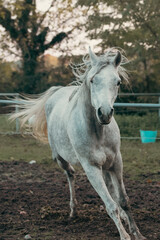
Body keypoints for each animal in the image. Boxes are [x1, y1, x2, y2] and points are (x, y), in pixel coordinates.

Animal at [10, 48, 146, 240]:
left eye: (118, 82)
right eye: (92, 80)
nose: (105, 113)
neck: (98, 131)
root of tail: (56, 92)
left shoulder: (116, 163)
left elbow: (123, 200)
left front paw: (136, 232)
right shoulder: (91, 168)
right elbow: (110, 205)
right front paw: (125, 235)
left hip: (105, 166)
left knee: (109, 188)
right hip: (60, 158)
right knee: (71, 174)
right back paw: (73, 211)